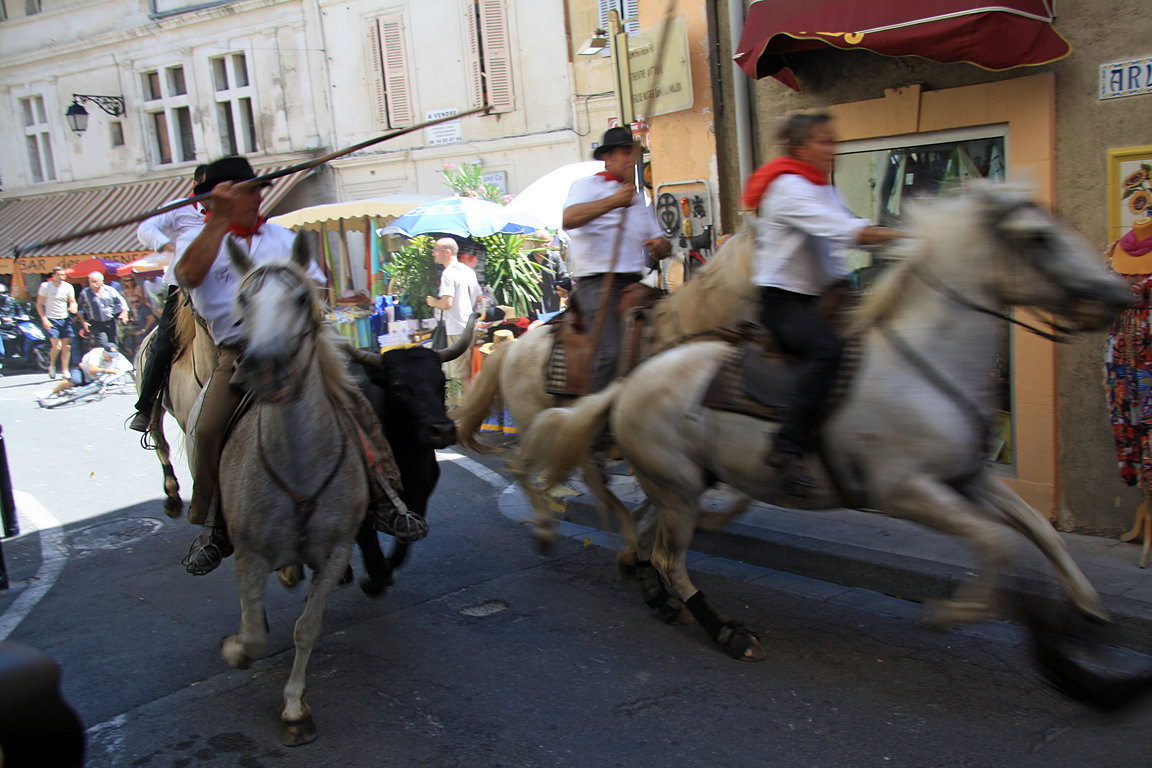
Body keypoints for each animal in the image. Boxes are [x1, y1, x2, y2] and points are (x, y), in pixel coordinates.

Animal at [527, 184, 1128, 663]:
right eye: (1038, 238)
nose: (1119, 296)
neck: (921, 366)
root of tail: (631, 381)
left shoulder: (968, 478)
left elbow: (1037, 529)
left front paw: (1091, 615)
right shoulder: (907, 491)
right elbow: (995, 540)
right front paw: (957, 613)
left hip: (679, 485)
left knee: (649, 536)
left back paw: (655, 595)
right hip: (677, 490)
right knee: (670, 558)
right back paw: (727, 631)